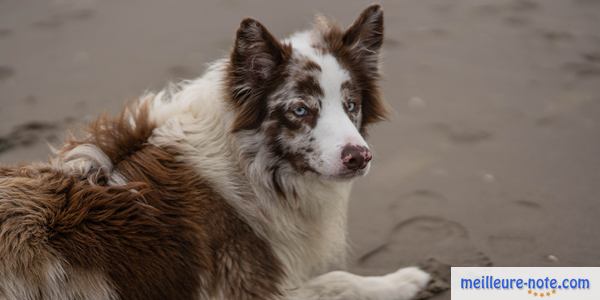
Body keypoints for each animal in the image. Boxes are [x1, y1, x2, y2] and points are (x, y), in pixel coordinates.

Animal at [0, 4, 432, 300]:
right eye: (300, 110)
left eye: (351, 105)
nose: (359, 156)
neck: (248, 164)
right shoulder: (248, 288)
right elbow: (338, 280)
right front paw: (400, 281)